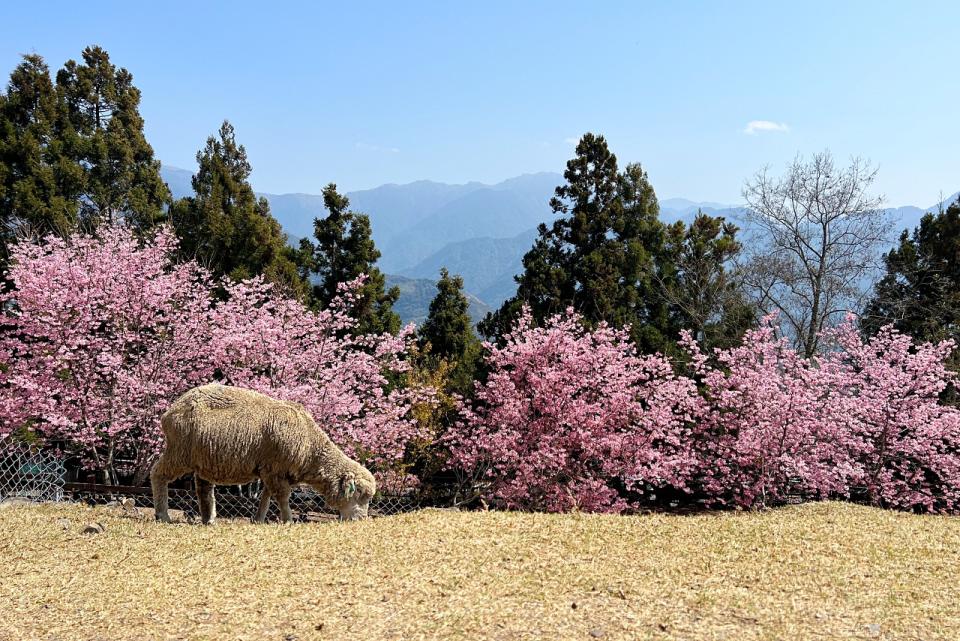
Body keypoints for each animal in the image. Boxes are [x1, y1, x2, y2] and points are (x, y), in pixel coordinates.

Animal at [150, 382, 376, 524]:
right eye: (359, 493)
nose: (361, 520)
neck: (311, 448)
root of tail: (172, 409)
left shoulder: (272, 470)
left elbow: (266, 496)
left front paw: (259, 519)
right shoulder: (275, 470)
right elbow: (282, 497)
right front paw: (288, 520)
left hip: (204, 458)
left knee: (203, 490)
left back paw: (209, 519)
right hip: (180, 451)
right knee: (158, 474)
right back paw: (162, 515)